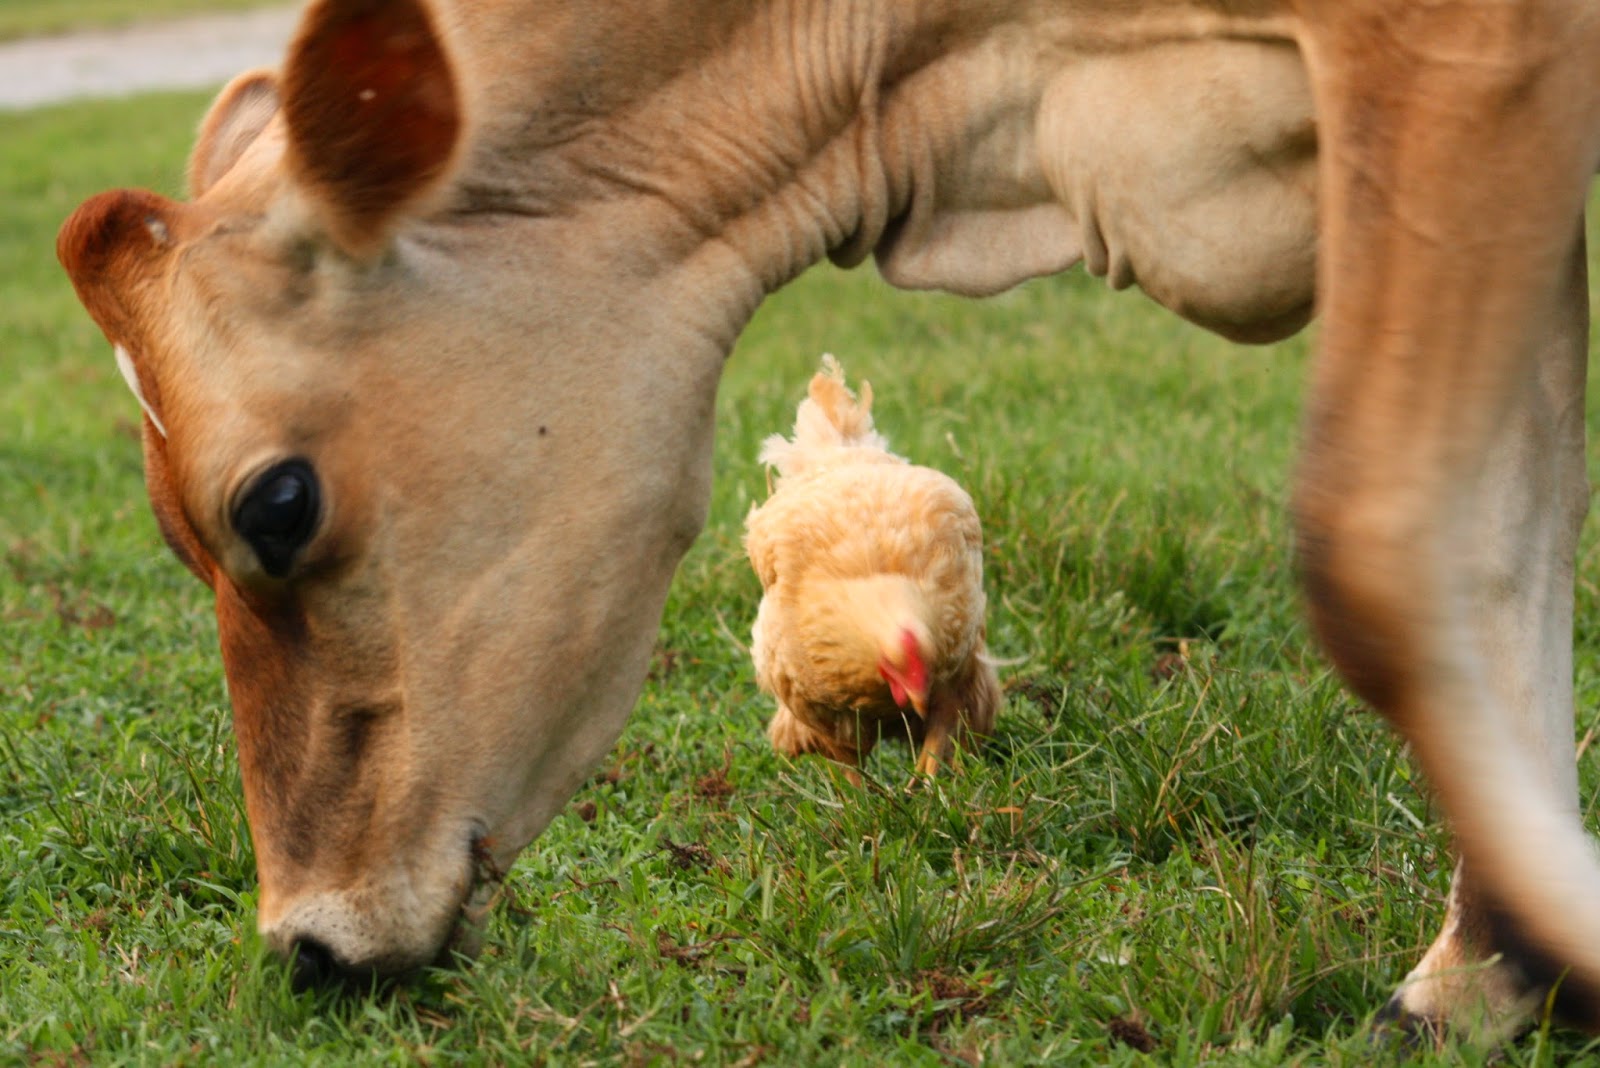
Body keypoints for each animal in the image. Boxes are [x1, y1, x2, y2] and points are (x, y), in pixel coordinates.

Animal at [55, 0, 1600, 1036]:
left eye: (277, 502)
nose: (302, 943)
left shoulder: (1461, 63)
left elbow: (1390, 552)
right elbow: (1503, 552)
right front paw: (1495, 965)